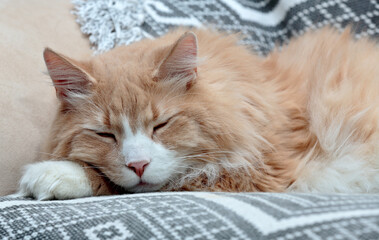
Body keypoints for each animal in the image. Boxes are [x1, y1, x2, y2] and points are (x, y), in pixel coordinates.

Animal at [18, 27, 379, 200]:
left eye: (161, 125)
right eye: (105, 135)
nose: (138, 165)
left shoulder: (263, 171)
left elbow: (158, 182)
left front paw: (56, 174)